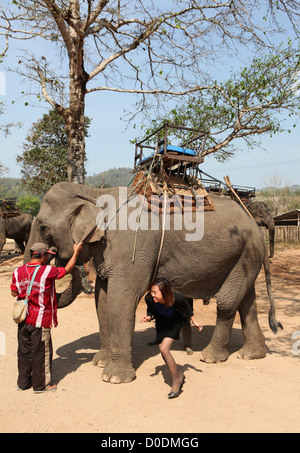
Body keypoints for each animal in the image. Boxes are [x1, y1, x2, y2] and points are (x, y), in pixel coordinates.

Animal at [24, 180, 282, 382]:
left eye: (44, 228)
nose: (56, 256)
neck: (94, 191)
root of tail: (255, 226)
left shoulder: (132, 249)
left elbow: (121, 300)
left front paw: (113, 378)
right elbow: (102, 300)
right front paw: (99, 363)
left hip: (244, 254)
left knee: (228, 303)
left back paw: (210, 357)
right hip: (245, 257)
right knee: (247, 303)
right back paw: (251, 354)